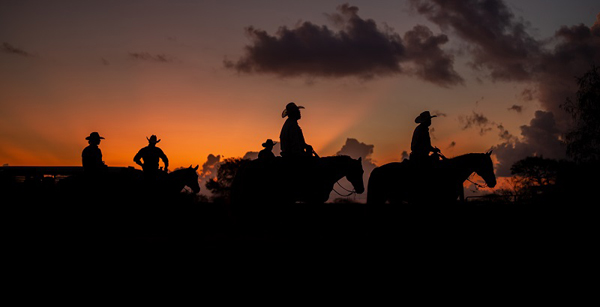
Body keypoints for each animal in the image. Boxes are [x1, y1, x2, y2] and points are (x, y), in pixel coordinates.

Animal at [231, 155, 364, 206]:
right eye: (358, 171)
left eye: (362, 171)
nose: (361, 189)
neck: (324, 171)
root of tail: (245, 166)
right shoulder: (315, 200)